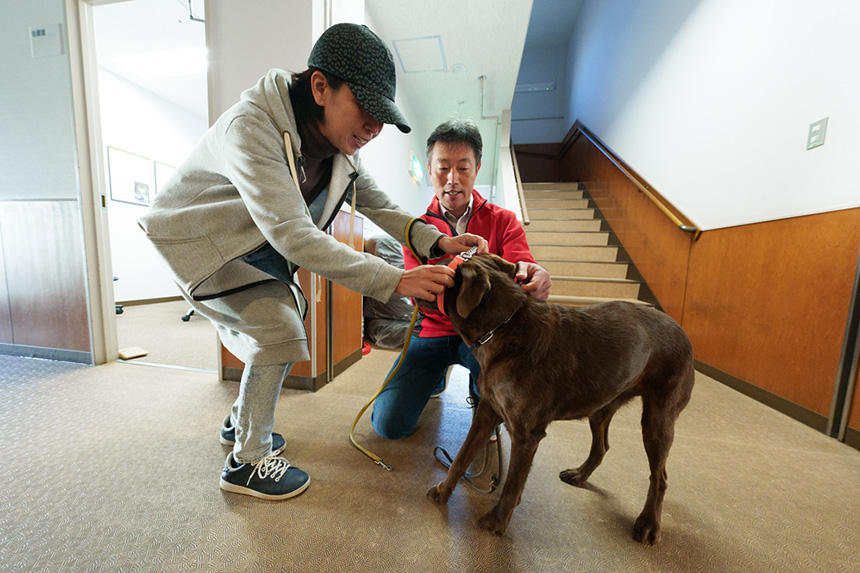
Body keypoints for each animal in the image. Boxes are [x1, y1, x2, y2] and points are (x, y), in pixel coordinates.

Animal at [426, 254, 696, 540]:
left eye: (443, 267)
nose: (422, 262)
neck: (504, 327)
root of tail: (682, 332)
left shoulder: (527, 434)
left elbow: (511, 486)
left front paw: (497, 522)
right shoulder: (487, 413)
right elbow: (461, 458)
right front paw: (443, 491)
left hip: (658, 419)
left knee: (660, 476)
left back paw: (648, 523)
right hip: (601, 406)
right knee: (601, 447)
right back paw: (579, 475)